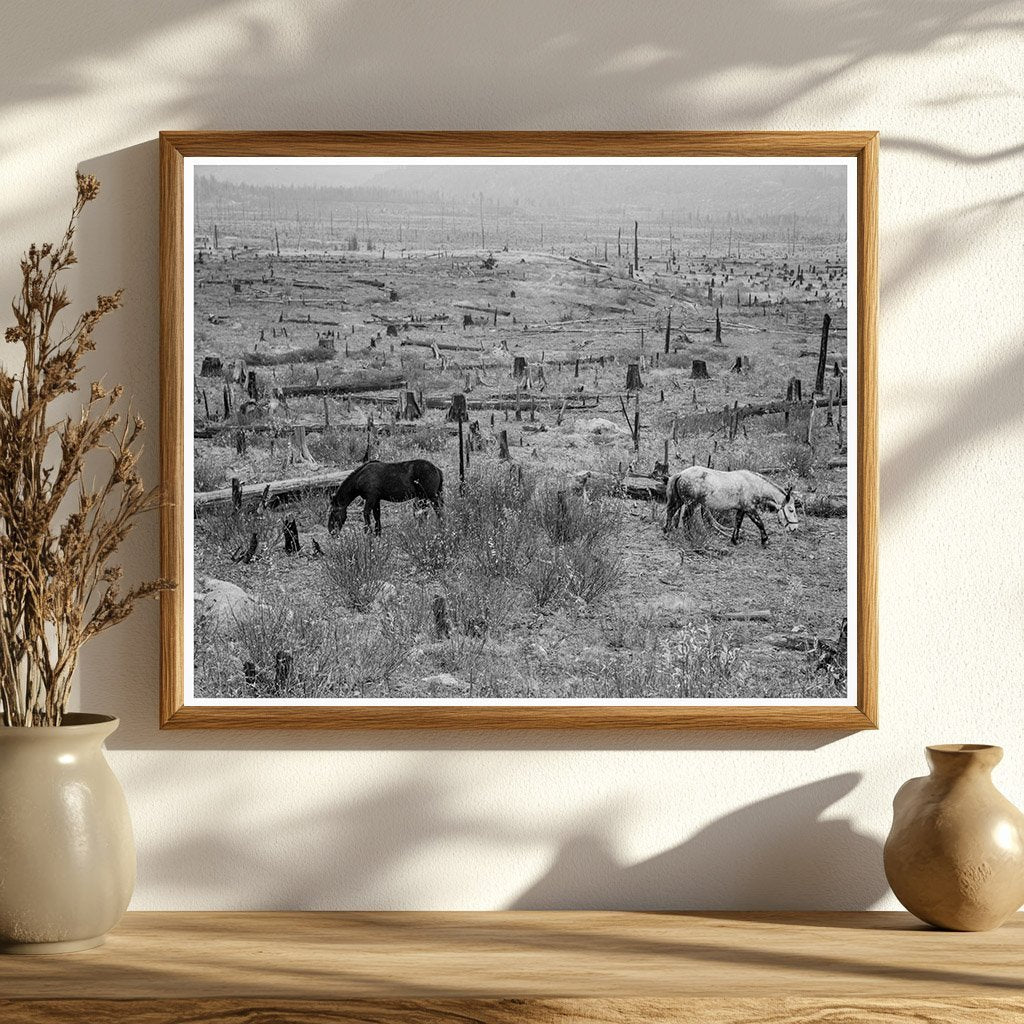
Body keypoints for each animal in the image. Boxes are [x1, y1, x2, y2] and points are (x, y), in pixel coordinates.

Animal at [663, 464, 798, 544]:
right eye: (791, 510)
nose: (794, 528)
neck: (753, 484)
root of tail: (681, 474)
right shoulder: (750, 509)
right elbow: (759, 523)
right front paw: (765, 540)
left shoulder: (742, 509)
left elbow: (737, 523)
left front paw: (734, 540)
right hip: (691, 504)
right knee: (685, 518)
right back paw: (689, 537)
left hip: (679, 501)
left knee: (670, 512)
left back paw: (667, 530)